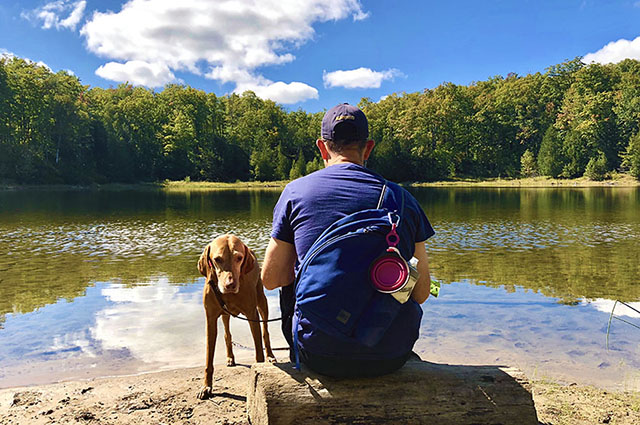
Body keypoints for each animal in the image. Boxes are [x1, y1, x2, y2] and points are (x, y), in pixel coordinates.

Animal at [195, 235, 276, 398]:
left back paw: (270, 355)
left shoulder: (252, 315)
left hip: (262, 301)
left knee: (265, 331)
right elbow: (208, 359)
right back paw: (230, 357)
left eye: (239, 258)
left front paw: (258, 372)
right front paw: (206, 386)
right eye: (217, 259)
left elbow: (259, 350)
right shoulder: (210, 319)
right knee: (227, 334)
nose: (230, 285)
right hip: (226, 314)